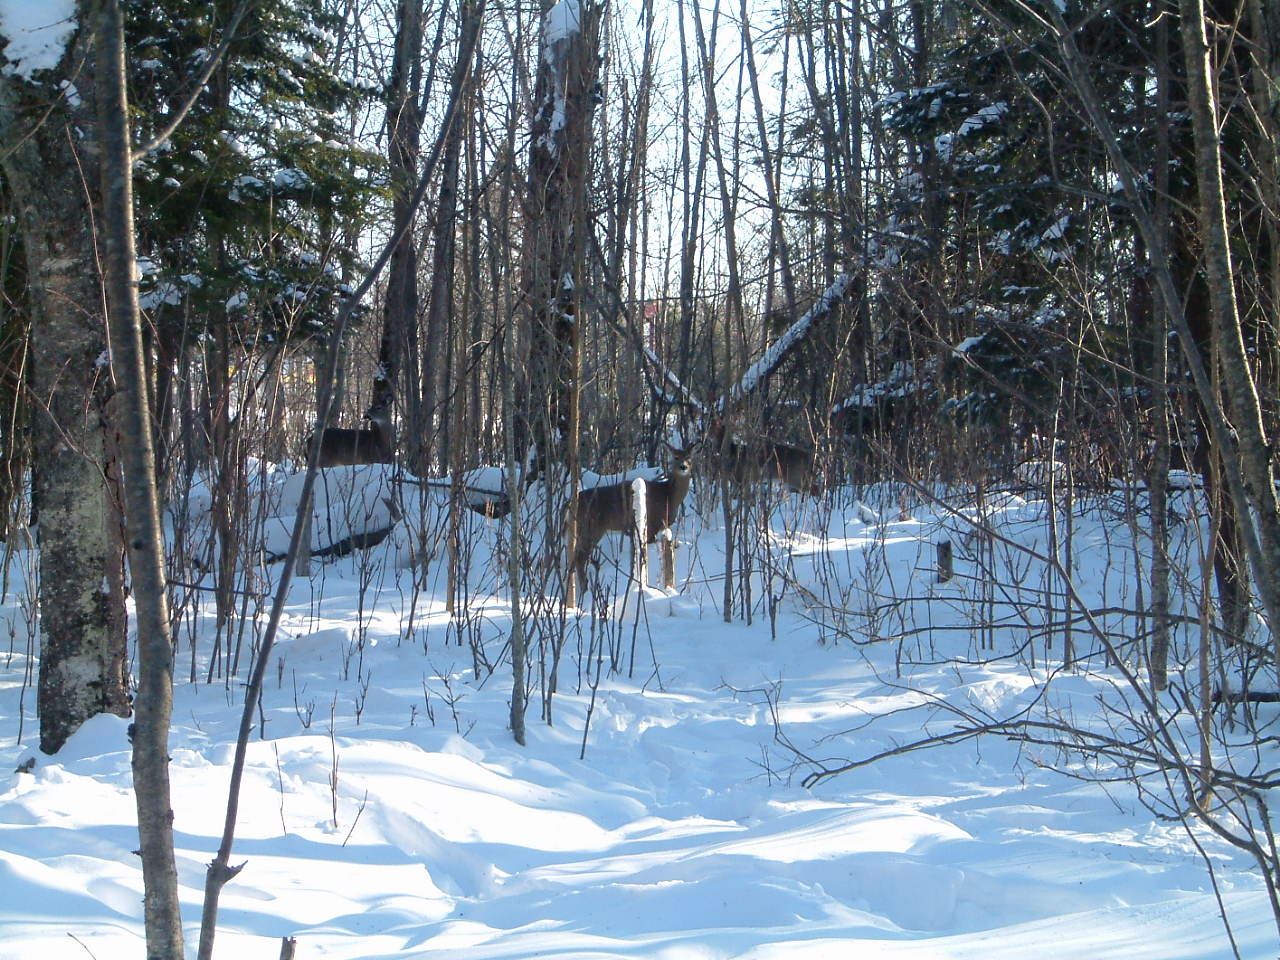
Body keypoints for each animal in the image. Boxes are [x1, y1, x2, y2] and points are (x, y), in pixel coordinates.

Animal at [570, 444, 695, 595]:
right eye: (676, 457)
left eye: (688, 457)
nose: (683, 466)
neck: (668, 496)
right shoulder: (652, 524)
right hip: (591, 527)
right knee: (580, 558)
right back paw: (584, 590)